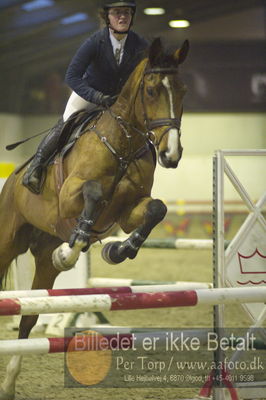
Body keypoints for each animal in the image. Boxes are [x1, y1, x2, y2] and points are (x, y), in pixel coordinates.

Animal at [0, 37, 189, 400]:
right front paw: (71, 251)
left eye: (183, 91)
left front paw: (117, 251)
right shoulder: (70, 196)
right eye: (151, 90)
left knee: (30, 316)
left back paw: (9, 383)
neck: (124, 145)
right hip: (6, 242)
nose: (171, 154)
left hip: (41, 258)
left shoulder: (128, 213)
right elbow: (94, 192)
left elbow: (155, 210)